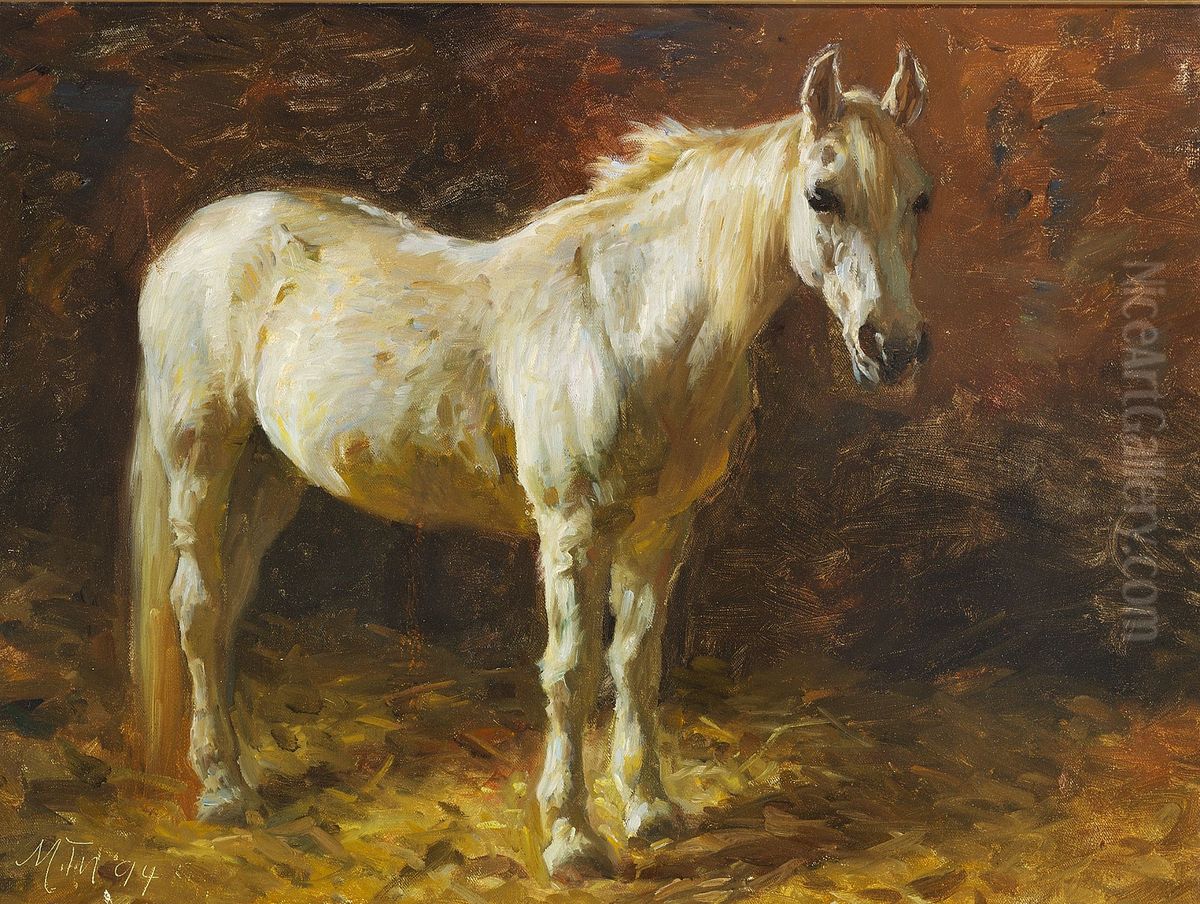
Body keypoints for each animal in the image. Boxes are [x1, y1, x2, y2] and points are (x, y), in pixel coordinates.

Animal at [129, 44, 933, 880]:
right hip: (202, 458)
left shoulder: (662, 530)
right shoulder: (573, 527)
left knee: (225, 605)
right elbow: (572, 671)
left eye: (920, 201)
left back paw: (236, 771)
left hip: (270, 475)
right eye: (822, 196)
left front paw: (650, 811)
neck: (627, 320)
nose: (893, 348)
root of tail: (195, 235)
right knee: (195, 606)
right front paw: (571, 837)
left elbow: (635, 663)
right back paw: (223, 793)